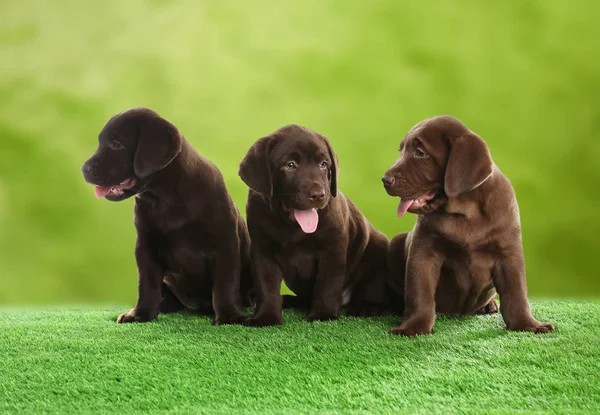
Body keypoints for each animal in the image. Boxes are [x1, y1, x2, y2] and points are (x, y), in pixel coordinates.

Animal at [81, 107, 251, 324]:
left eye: (116, 144)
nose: (84, 169)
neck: (166, 198)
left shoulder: (224, 243)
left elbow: (225, 284)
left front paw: (229, 316)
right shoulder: (146, 245)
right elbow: (147, 284)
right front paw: (140, 314)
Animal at [239, 125, 390, 326]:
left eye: (323, 164)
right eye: (290, 165)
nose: (319, 195)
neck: (292, 227)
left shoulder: (332, 249)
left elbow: (327, 284)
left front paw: (323, 315)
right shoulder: (262, 250)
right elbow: (266, 285)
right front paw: (266, 317)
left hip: (378, 248)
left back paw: (365, 307)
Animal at [382, 115, 556, 336]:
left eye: (420, 153)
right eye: (401, 151)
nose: (385, 180)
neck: (465, 213)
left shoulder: (508, 253)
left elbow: (516, 293)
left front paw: (528, 325)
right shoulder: (423, 251)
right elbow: (419, 292)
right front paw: (414, 327)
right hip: (397, 241)